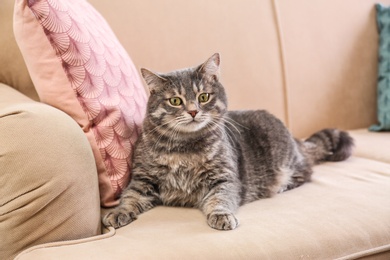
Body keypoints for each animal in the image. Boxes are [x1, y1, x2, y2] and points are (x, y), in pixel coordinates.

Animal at [103, 52, 354, 230]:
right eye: (175, 101)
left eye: (203, 97)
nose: (193, 111)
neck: (184, 148)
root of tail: (295, 138)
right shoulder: (142, 179)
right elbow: (130, 197)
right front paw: (118, 213)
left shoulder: (224, 178)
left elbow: (220, 199)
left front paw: (222, 216)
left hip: (288, 162)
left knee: (306, 171)